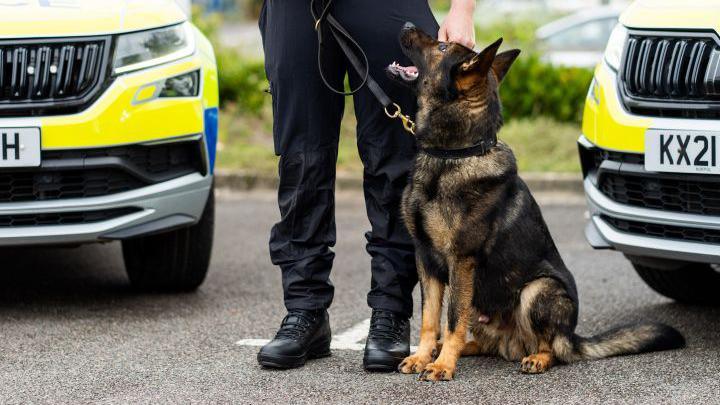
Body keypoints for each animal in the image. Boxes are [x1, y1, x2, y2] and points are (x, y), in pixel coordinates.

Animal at [386, 24, 684, 378]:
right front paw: (424, 356)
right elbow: (431, 319)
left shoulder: (461, 261)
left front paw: (443, 365)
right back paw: (458, 349)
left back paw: (535, 357)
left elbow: (453, 319)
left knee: (551, 348)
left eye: (442, 46)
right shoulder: (427, 261)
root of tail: (570, 337)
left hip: (536, 290)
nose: (405, 26)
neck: (453, 154)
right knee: (484, 343)